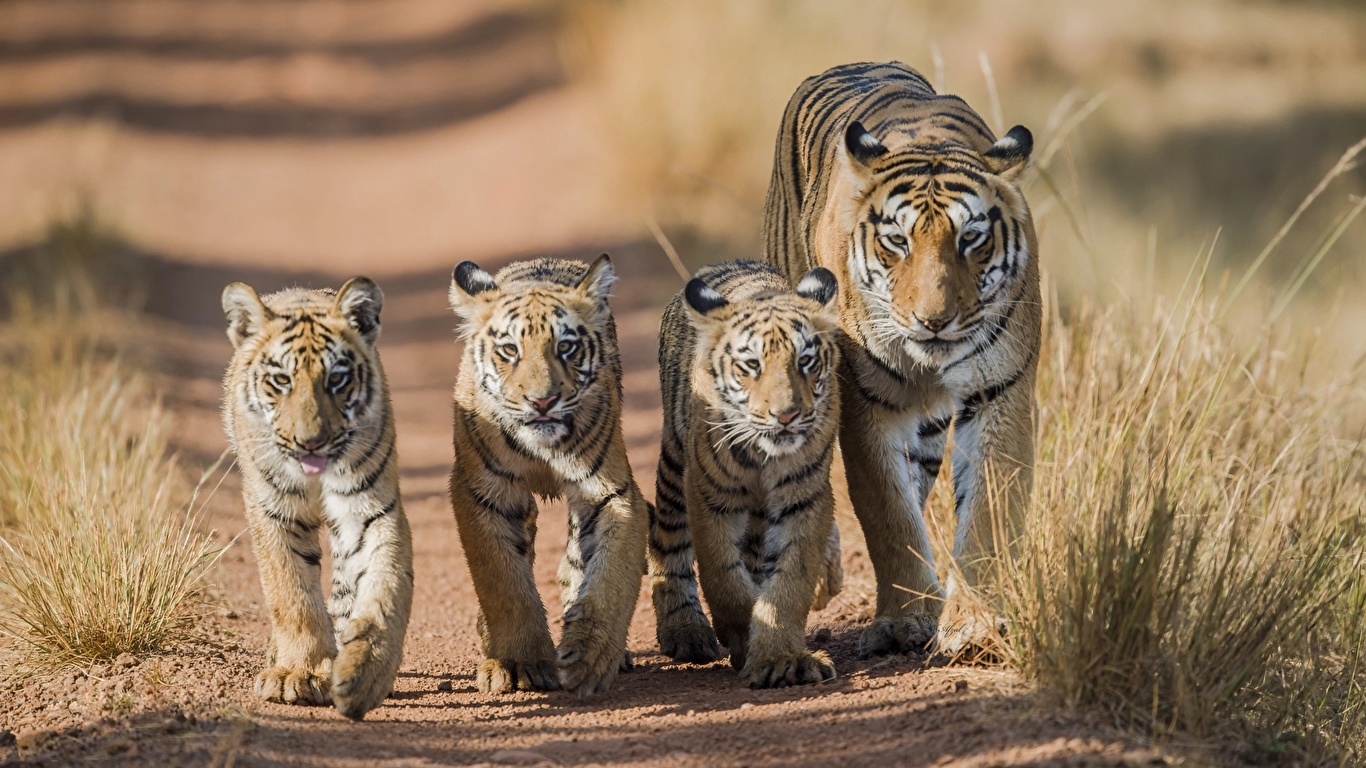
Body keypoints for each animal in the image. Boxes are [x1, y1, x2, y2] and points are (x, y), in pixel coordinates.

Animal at [221, 277, 413, 721]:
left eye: (337, 380)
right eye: (281, 381)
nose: (311, 442)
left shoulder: (369, 508)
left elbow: (385, 585)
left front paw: (366, 673)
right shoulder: (275, 510)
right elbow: (291, 592)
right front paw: (301, 673)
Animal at [447, 254, 650, 698]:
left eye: (566, 347)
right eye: (510, 350)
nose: (542, 401)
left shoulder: (610, 493)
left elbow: (609, 576)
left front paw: (591, 658)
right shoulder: (483, 494)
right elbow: (503, 582)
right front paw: (520, 662)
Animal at [649, 260, 842, 687]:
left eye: (806, 361)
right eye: (752, 365)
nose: (786, 415)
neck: (763, 456)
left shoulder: (804, 497)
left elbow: (789, 581)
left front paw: (780, 657)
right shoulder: (709, 495)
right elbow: (723, 578)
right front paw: (740, 640)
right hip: (673, 463)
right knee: (667, 541)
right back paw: (685, 632)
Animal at [762, 61, 1041, 657]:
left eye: (971, 239)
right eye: (897, 241)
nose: (933, 320)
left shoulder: (1000, 392)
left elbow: (988, 509)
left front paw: (973, 622)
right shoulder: (868, 402)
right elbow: (887, 513)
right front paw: (906, 619)